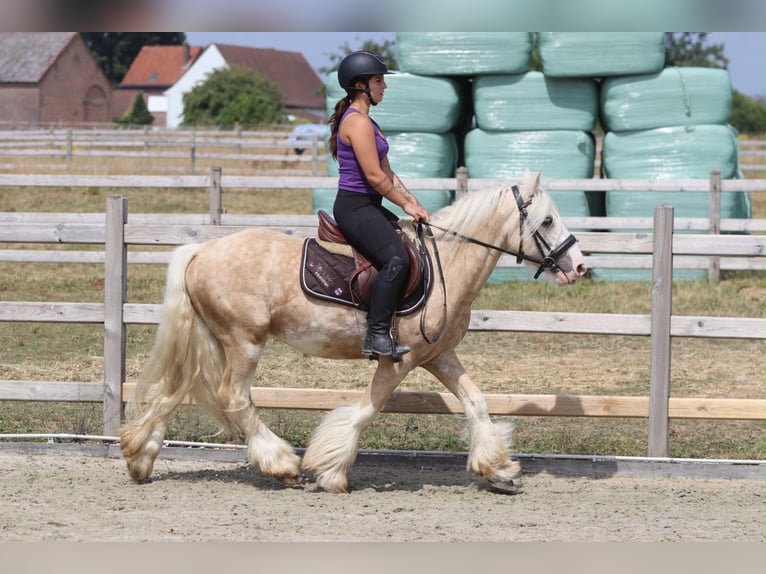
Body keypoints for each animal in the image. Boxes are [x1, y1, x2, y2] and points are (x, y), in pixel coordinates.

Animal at [119, 169, 587, 493]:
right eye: (547, 220)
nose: (580, 265)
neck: (446, 266)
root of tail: (202, 249)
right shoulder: (398, 361)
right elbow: (365, 410)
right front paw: (330, 472)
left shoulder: (438, 356)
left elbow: (476, 403)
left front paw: (500, 470)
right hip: (243, 341)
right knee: (233, 396)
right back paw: (281, 463)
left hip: (211, 341)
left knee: (174, 392)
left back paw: (140, 458)